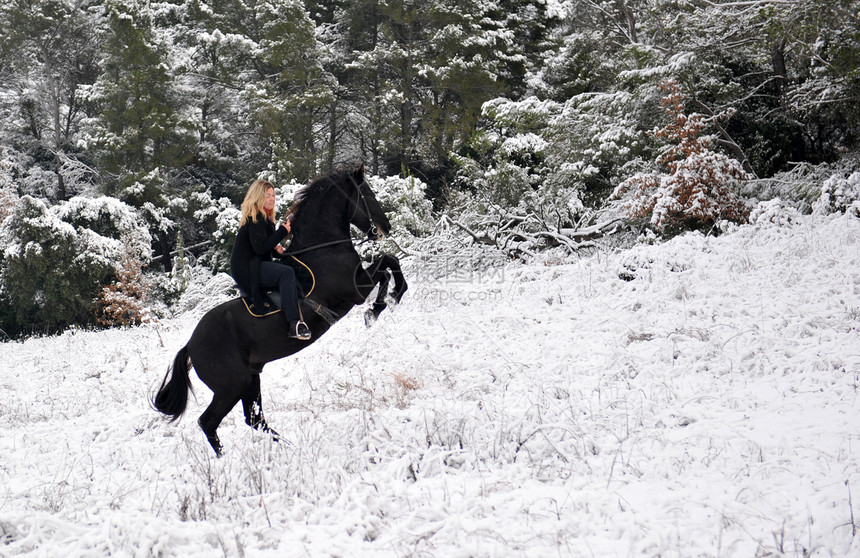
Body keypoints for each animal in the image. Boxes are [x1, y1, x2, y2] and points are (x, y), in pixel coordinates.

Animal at [151, 164, 406, 458]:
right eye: (368, 194)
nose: (386, 227)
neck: (324, 248)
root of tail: (191, 344)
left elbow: (389, 261)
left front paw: (388, 301)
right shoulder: (356, 288)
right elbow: (387, 264)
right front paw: (381, 306)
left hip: (251, 378)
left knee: (254, 419)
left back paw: (290, 449)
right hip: (232, 385)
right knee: (209, 421)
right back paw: (227, 460)